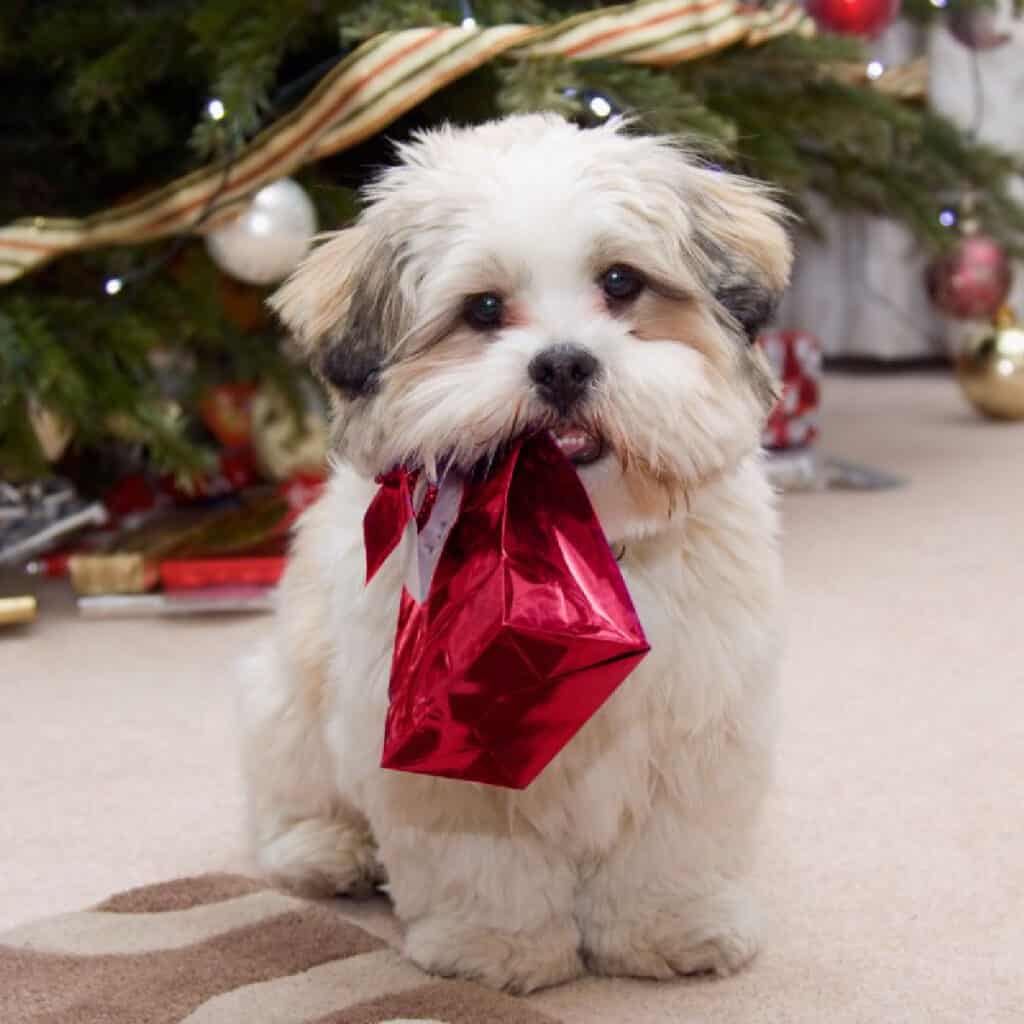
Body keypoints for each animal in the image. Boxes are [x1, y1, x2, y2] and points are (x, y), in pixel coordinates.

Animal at [239, 112, 790, 991]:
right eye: (484, 308)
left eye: (621, 282)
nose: (563, 362)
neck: (574, 550)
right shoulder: (437, 747)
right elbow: (483, 864)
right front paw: (495, 947)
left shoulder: (698, 726)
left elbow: (669, 851)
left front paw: (668, 930)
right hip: (284, 696)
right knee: (291, 794)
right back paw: (327, 849)